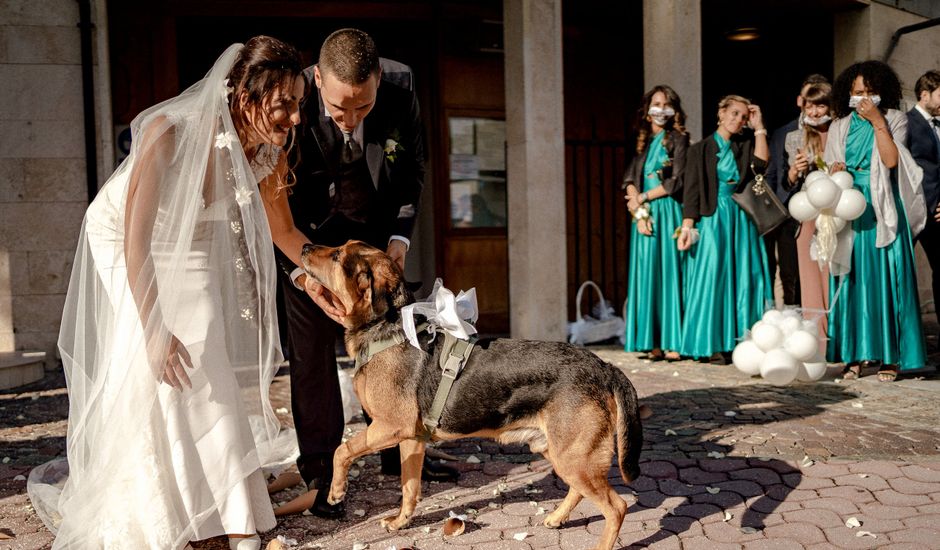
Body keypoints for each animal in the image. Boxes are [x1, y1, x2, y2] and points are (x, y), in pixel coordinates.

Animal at [302, 242, 648, 550]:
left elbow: (342, 450)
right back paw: (557, 517)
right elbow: (409, 488)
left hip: (574, 457)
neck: (385, 330)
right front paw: (401, 522)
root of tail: (604, 367)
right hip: (561, 452)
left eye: (336, 255)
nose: (304, 247)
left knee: (616, 507)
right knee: (581, 492)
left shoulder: (389, 428)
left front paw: (336, 491)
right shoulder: (410, 439)